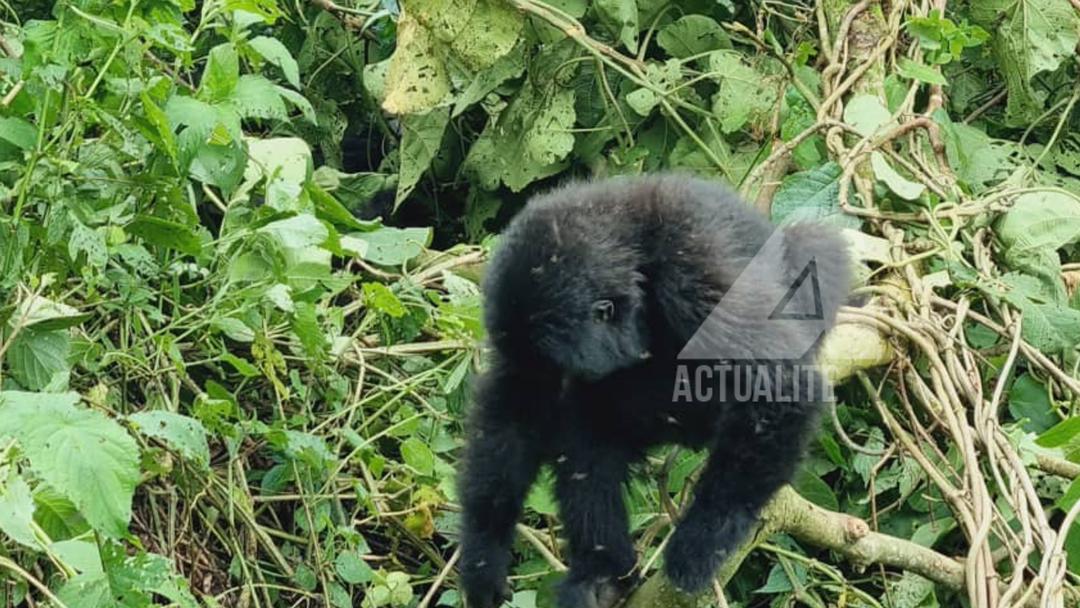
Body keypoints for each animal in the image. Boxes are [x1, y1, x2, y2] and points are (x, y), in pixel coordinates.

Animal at [455, 173, 851, 604]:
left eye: (558, 363)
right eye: (538, 367)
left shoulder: (692, 271)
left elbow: (778, 385)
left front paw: (703, 540)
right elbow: (511, 417)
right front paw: (484, 554)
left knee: (816, 247)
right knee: (585, 441)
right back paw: (604, 575)